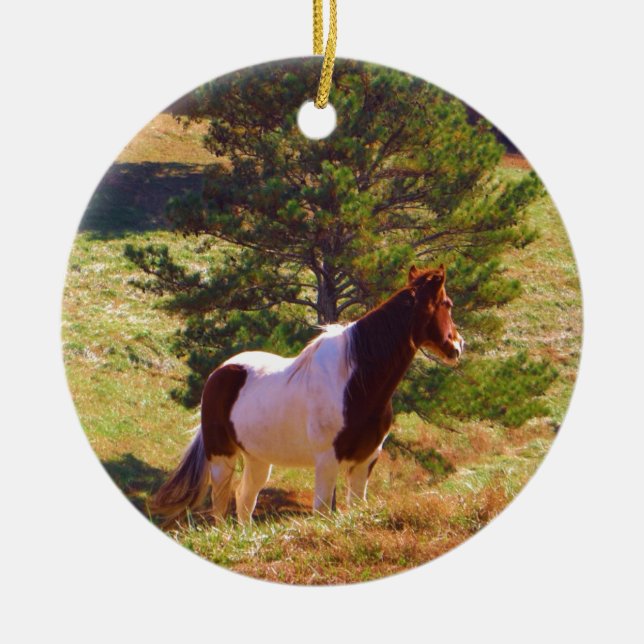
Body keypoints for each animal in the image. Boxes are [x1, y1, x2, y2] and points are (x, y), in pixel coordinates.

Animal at [152, 264, 464, 524]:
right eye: (447, 304)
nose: (458, 346)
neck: (354, 382)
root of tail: (220, 372)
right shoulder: (327, 460)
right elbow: (323, 512)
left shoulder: (366, 459)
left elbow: (356, 507)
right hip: (221, 457)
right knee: (220, 504)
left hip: (258, 459)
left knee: (244, 499)